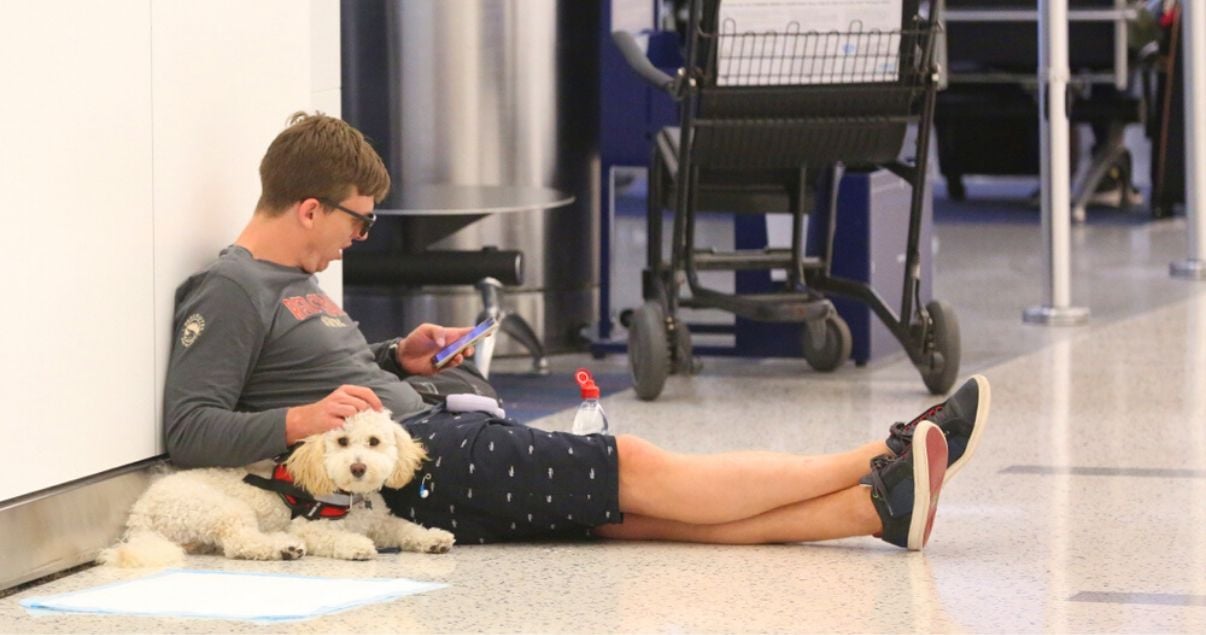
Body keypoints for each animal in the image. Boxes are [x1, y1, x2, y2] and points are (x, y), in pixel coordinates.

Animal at [100, 409, 453, 568]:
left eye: (374, 442)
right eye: (341, 441)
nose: (358, 467)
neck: (349, 497)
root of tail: (140, 511)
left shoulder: (380, 522)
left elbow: (406, 527)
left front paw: (433, 538)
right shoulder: (309, 524)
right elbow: (333, 537)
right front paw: (355, 545)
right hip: (221, 508)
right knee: (240, 543)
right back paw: (285, 547)